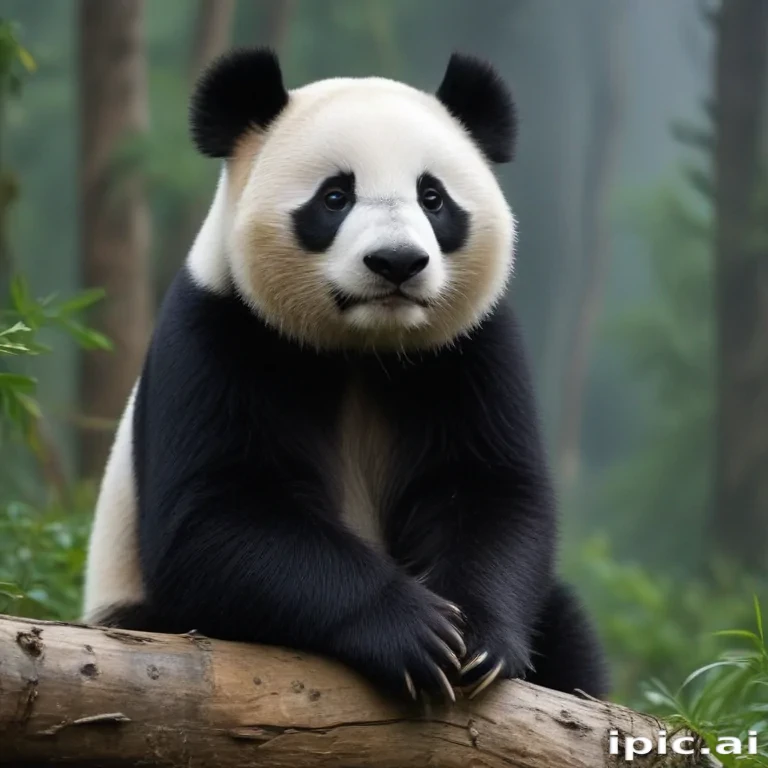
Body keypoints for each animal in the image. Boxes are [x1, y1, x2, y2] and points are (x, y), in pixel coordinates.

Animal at [83, 48, 608, 704]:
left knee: (566, 628)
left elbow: (490, 491)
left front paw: (480, 640)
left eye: (432, 198)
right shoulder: (218, 333)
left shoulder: (472, 348)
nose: (397, 262)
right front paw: (414, 632)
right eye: (335, 197)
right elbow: (218, 518)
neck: (364, 347)